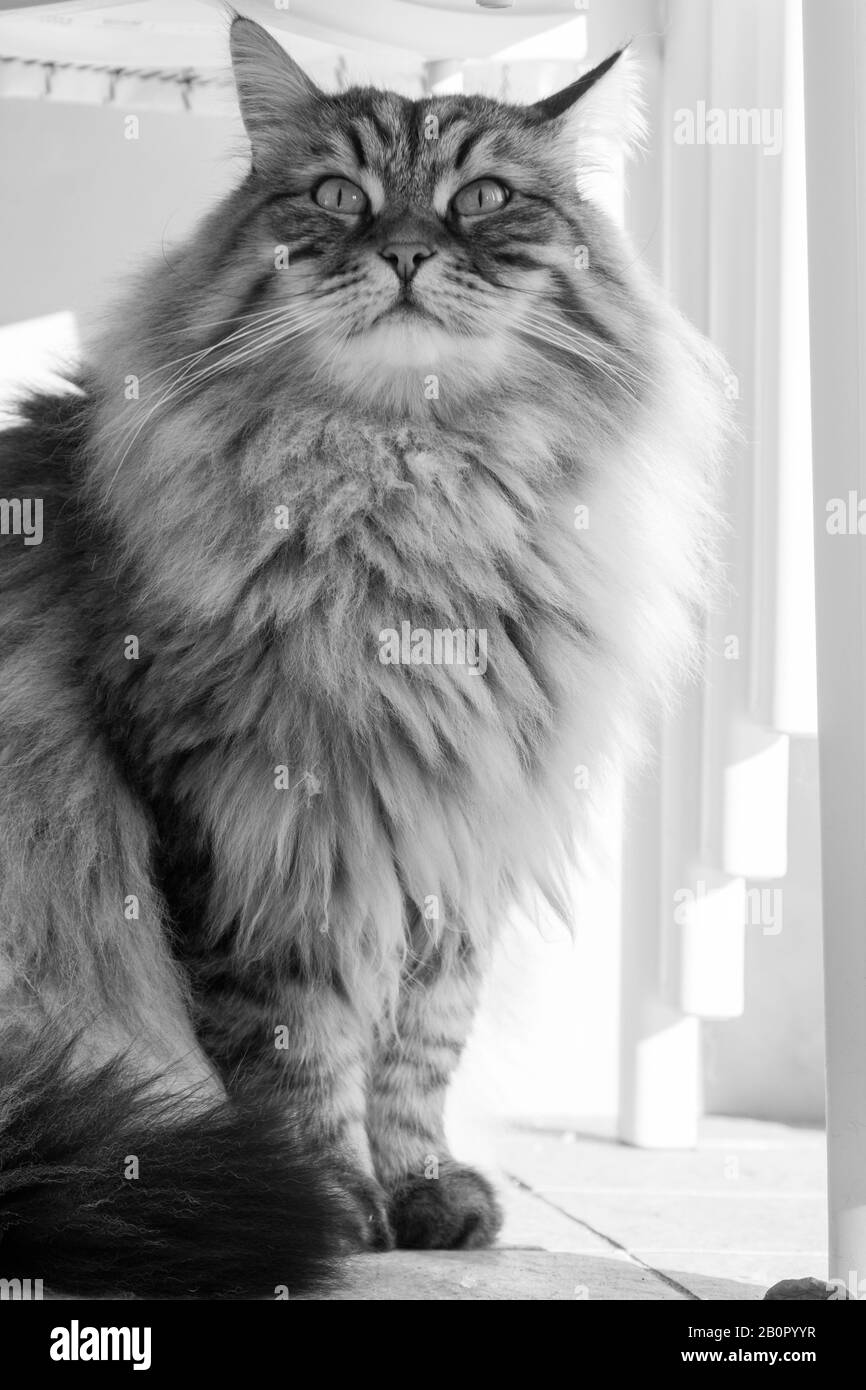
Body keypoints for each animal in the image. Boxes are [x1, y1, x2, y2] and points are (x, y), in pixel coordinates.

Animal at [0, 13, 728, 1301]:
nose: (401, 254)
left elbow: (421, 1041)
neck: (410, 494)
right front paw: (331, 1202)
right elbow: (293, 1043)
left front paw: (423, 1192)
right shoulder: (244, 819)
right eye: (337, 194)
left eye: (481, 197)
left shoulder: (457, 824)